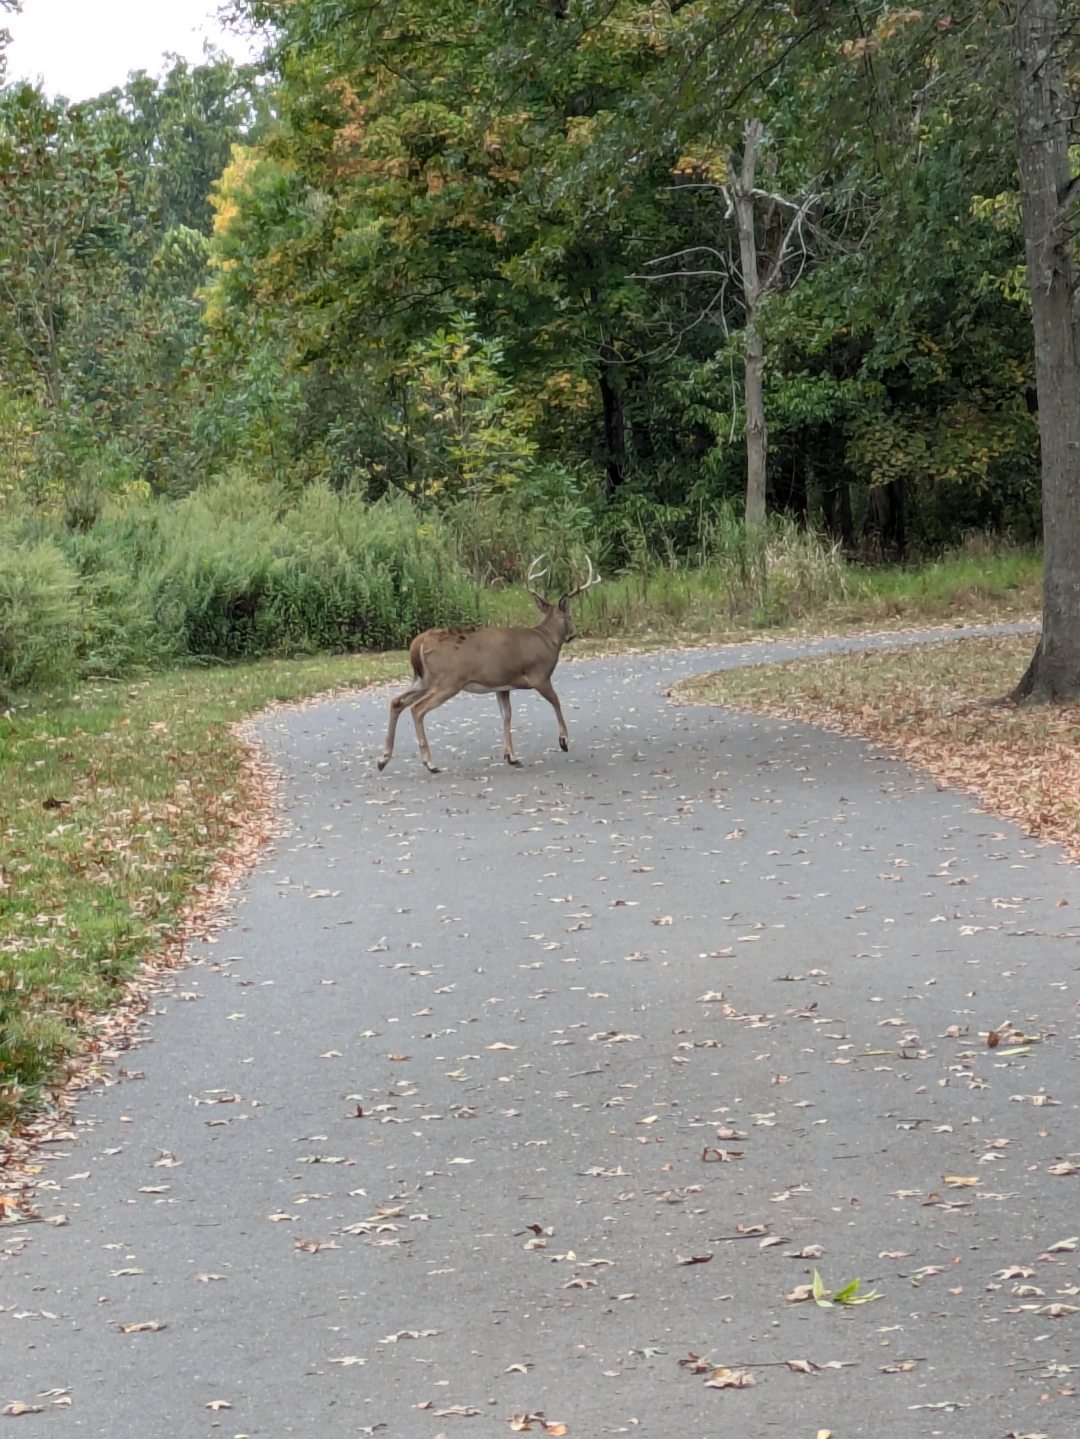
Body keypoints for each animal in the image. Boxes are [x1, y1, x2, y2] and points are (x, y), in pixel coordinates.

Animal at [376, 555, 601, 777]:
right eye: (570, 616)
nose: (573, 634)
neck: (548, 640)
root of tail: (418, 643)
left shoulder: (502, 685)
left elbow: (507, 714)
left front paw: (511, 756)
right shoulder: (539, 675)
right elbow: (556, 701)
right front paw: (563, 741)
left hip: (422, 679)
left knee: (396, 702)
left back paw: (383, 759)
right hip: (448, 680)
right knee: (417, 708)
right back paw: (429, 763)